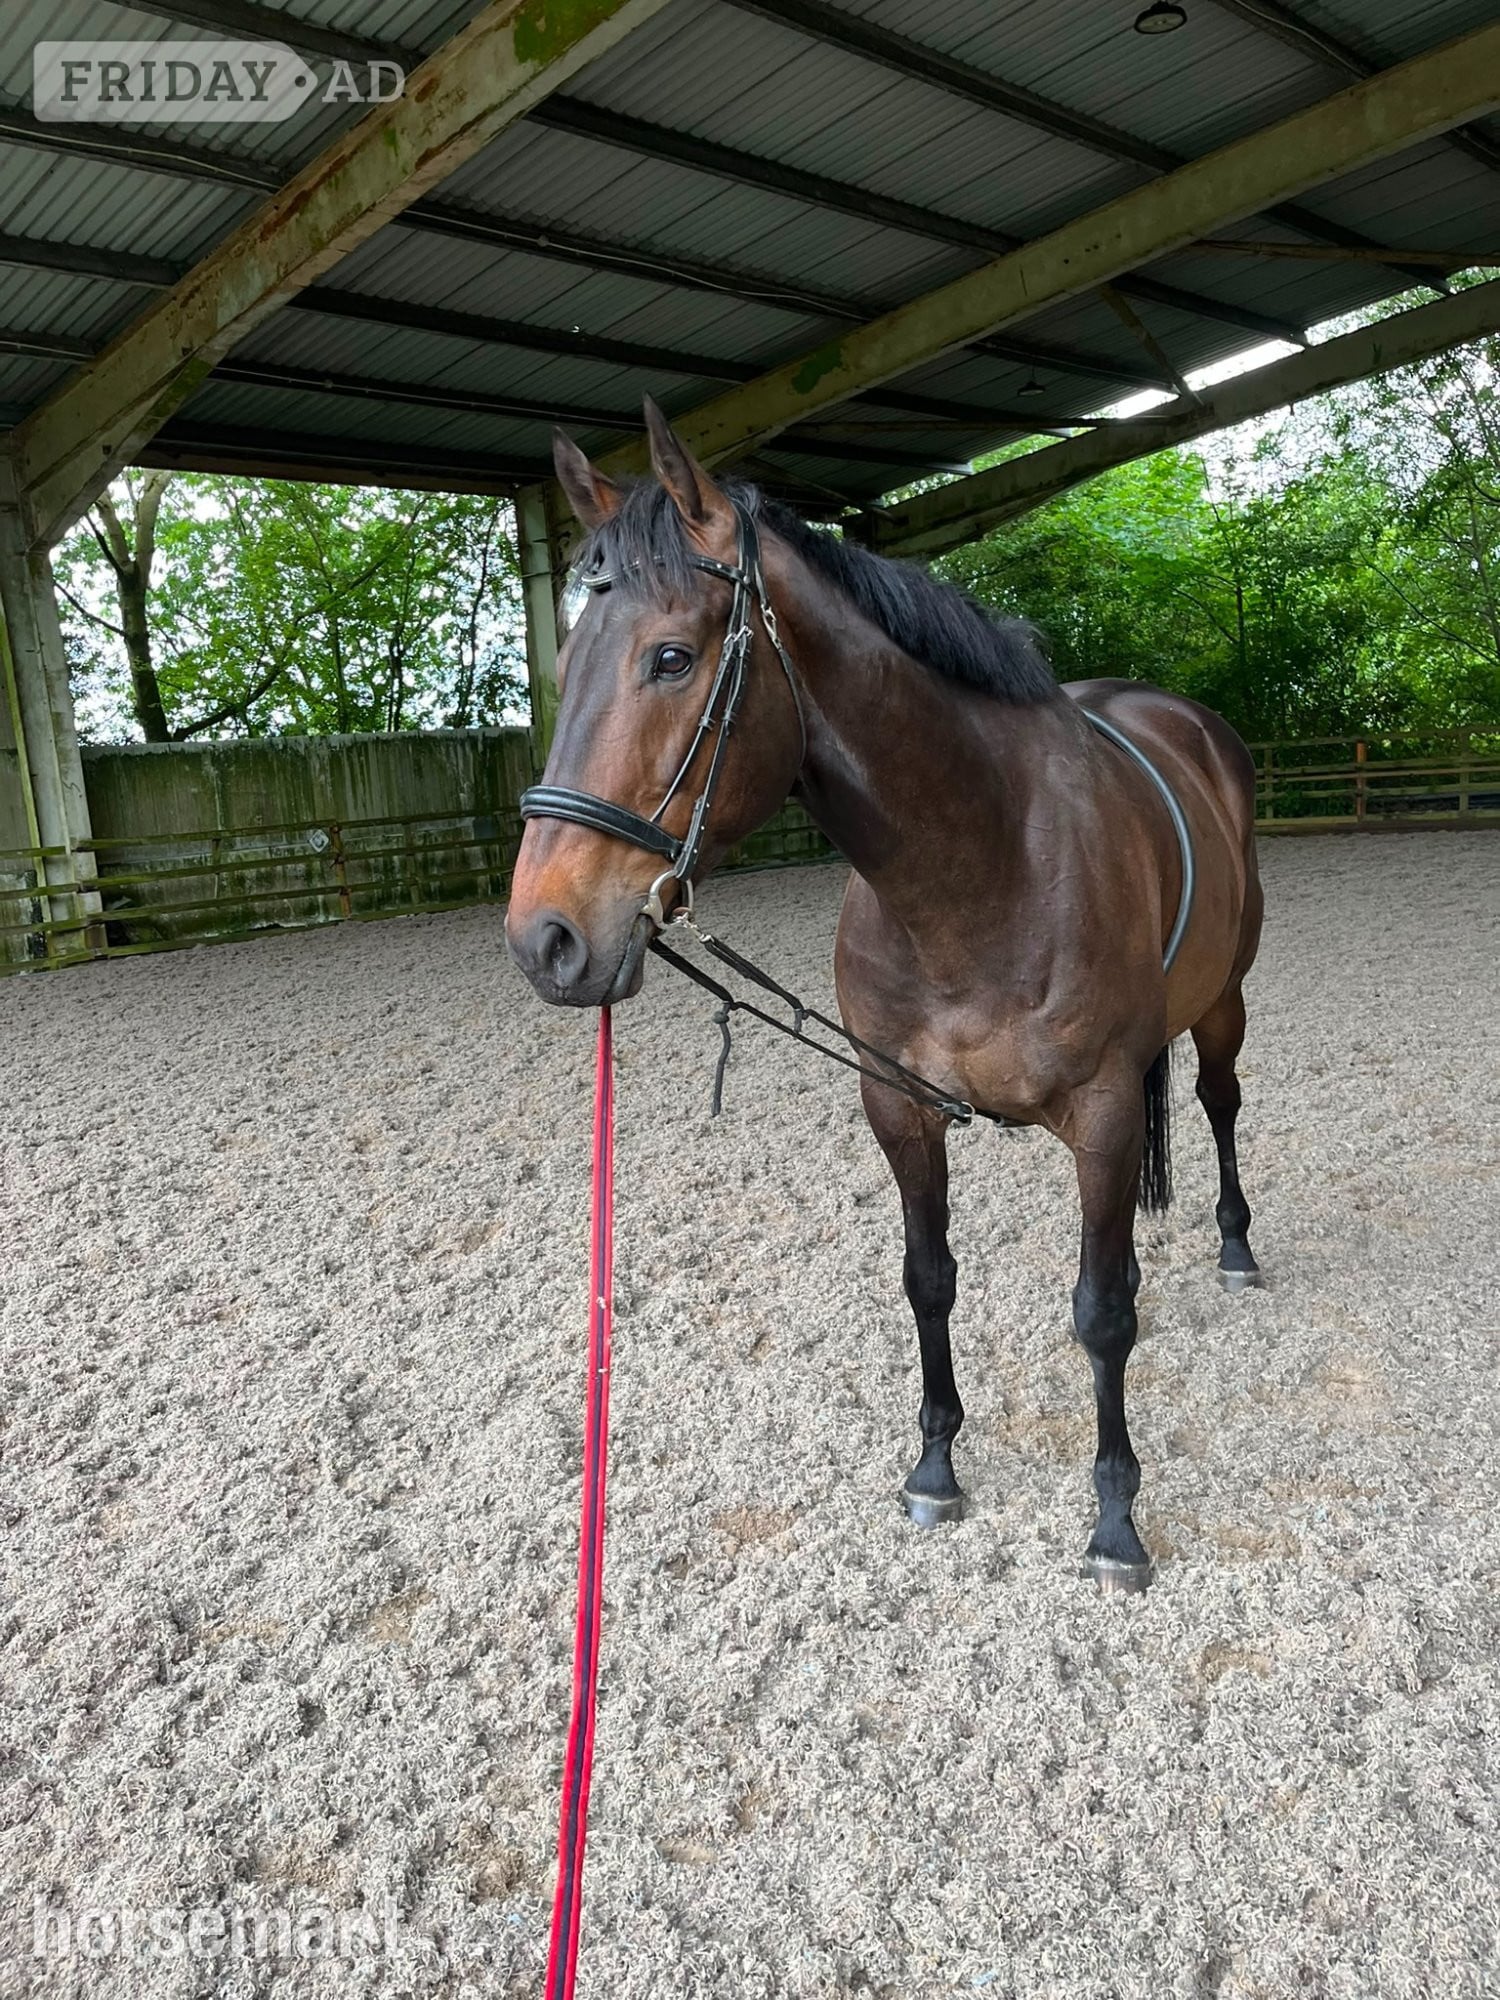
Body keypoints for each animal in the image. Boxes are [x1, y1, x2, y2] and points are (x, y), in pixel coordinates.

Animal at [507, 400, 1263, 1595]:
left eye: (671, 657)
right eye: (567, 656)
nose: (546, 938)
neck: (981, 864)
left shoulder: (1100, 1114)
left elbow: (1103, 1313)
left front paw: (1115, 1520)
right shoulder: (897, 1105)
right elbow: (929, 1279)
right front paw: (937, 1462)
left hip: (1224, 1002)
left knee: (1222, 1104)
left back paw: (1236, 1246)